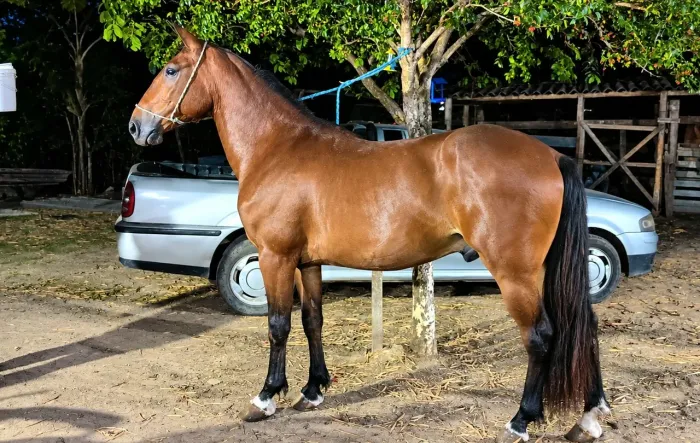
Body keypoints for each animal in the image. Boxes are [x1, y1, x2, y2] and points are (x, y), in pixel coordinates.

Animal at [129, 26, 610, 443]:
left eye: (171, 69)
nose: (137, 126)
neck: (278, 148)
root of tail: (550, 156)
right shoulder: (307, 262)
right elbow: (313, 320)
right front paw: (313, 391)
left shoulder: (273, 256)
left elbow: (278, 324)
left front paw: (266, 397)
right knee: (582, 326)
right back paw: (588, 418)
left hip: (515, 272)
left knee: (541, 335)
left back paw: (521, 420)